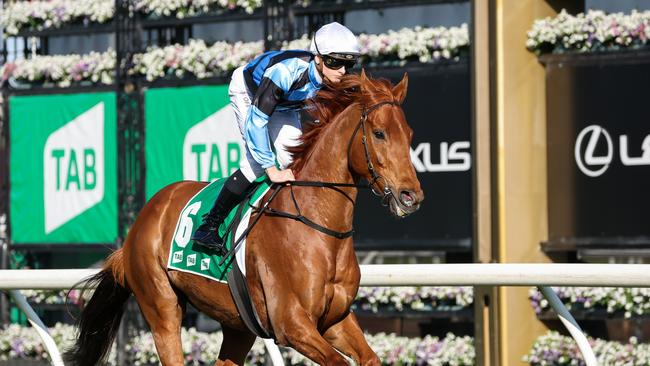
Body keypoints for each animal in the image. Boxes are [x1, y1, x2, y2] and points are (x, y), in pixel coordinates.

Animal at [64, 70, 420, 364]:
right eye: (379, 133)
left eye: (409, 134)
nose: (411, 196)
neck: (318, 227)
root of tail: (145, 216)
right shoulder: (293, 325)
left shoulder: (335, 320)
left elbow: (369, 358)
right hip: (161, 306)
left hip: (238, 324)